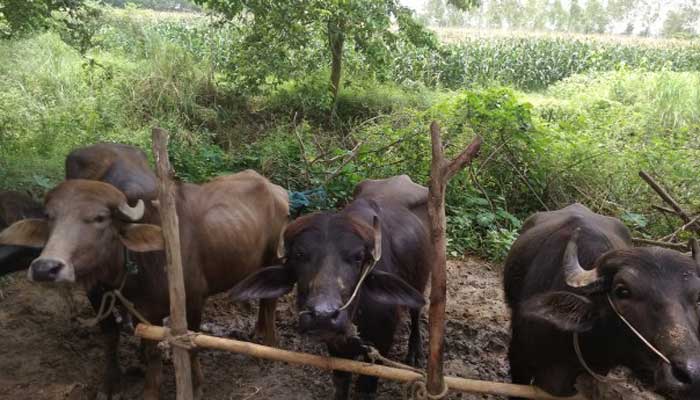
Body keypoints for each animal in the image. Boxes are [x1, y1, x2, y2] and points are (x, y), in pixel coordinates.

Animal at [0, 170, 288, 400]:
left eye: (100, 218)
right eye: (50, 217)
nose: (45, 267)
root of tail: (274, 189)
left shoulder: (194, 300)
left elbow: (191, 346)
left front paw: (195, 386)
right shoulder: (119, 302)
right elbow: (127, 344)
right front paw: (124, 386)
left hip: (273, 259)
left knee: (270, 301)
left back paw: (269, 346)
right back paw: (258, 332)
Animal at [232, 177, 430, 400]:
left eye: (358, 257)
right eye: (299, 254)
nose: (323, 315)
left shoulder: (383, 340)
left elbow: (366, 387)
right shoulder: (335, 346)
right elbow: (341, 382)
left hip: (421, 281)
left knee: (416, 314)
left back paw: (415, 353)